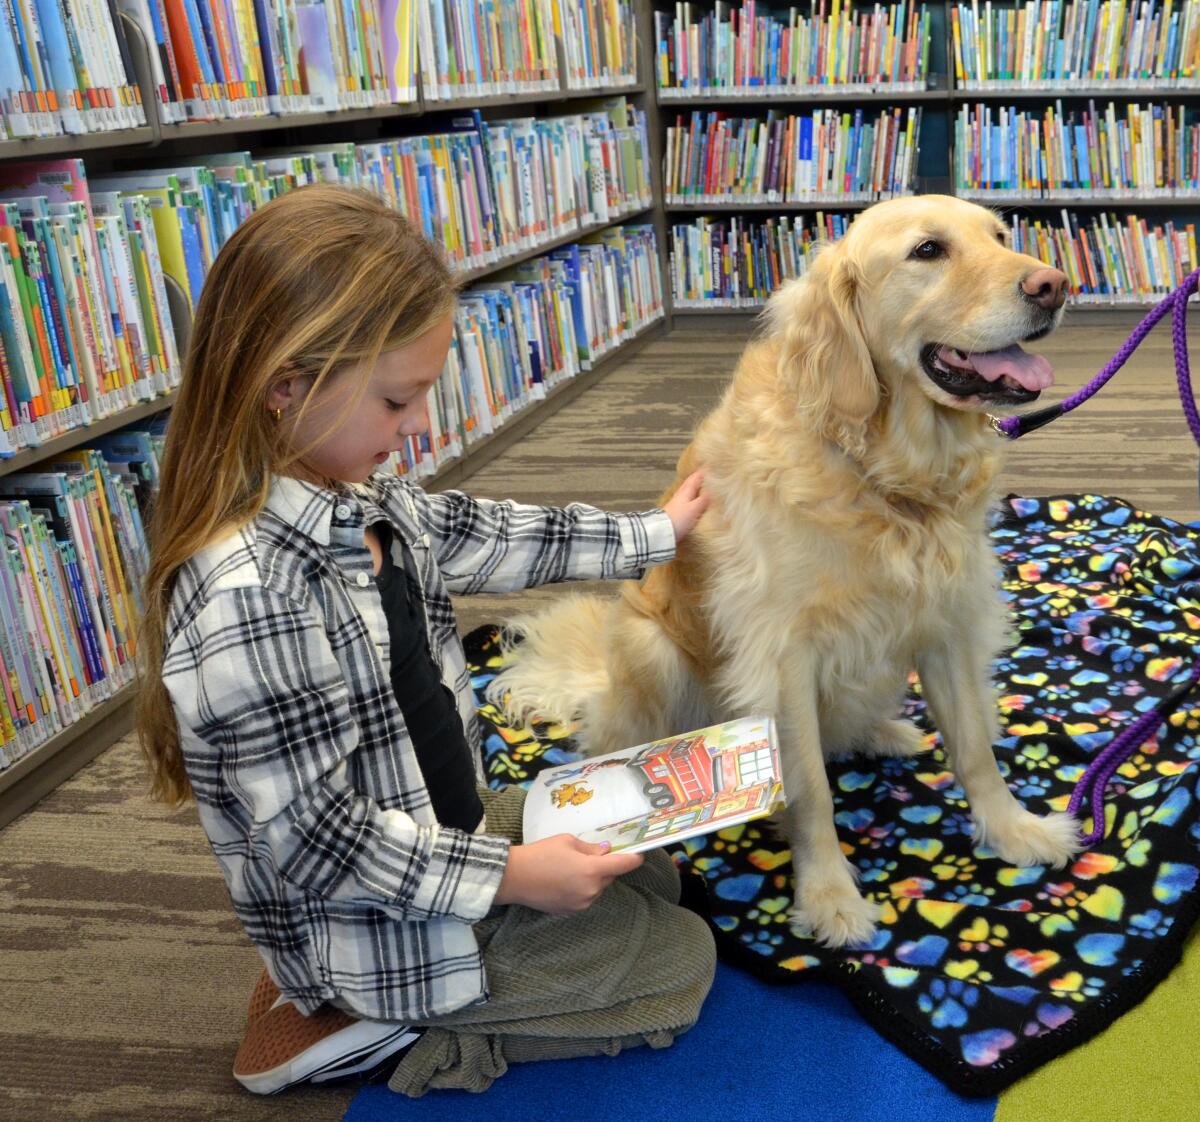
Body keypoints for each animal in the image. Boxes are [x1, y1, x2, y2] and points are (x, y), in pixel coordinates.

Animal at [487, 195, 1080, 945]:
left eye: (1000, 235)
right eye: (928, 251)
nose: (1054, 285)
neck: (884, 472)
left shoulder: (947, 619)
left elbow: (974, 745)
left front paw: (1012, 830)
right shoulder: (783, 657)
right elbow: (810, 790)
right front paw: (828, 896)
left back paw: (885, 731)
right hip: (651, 649)